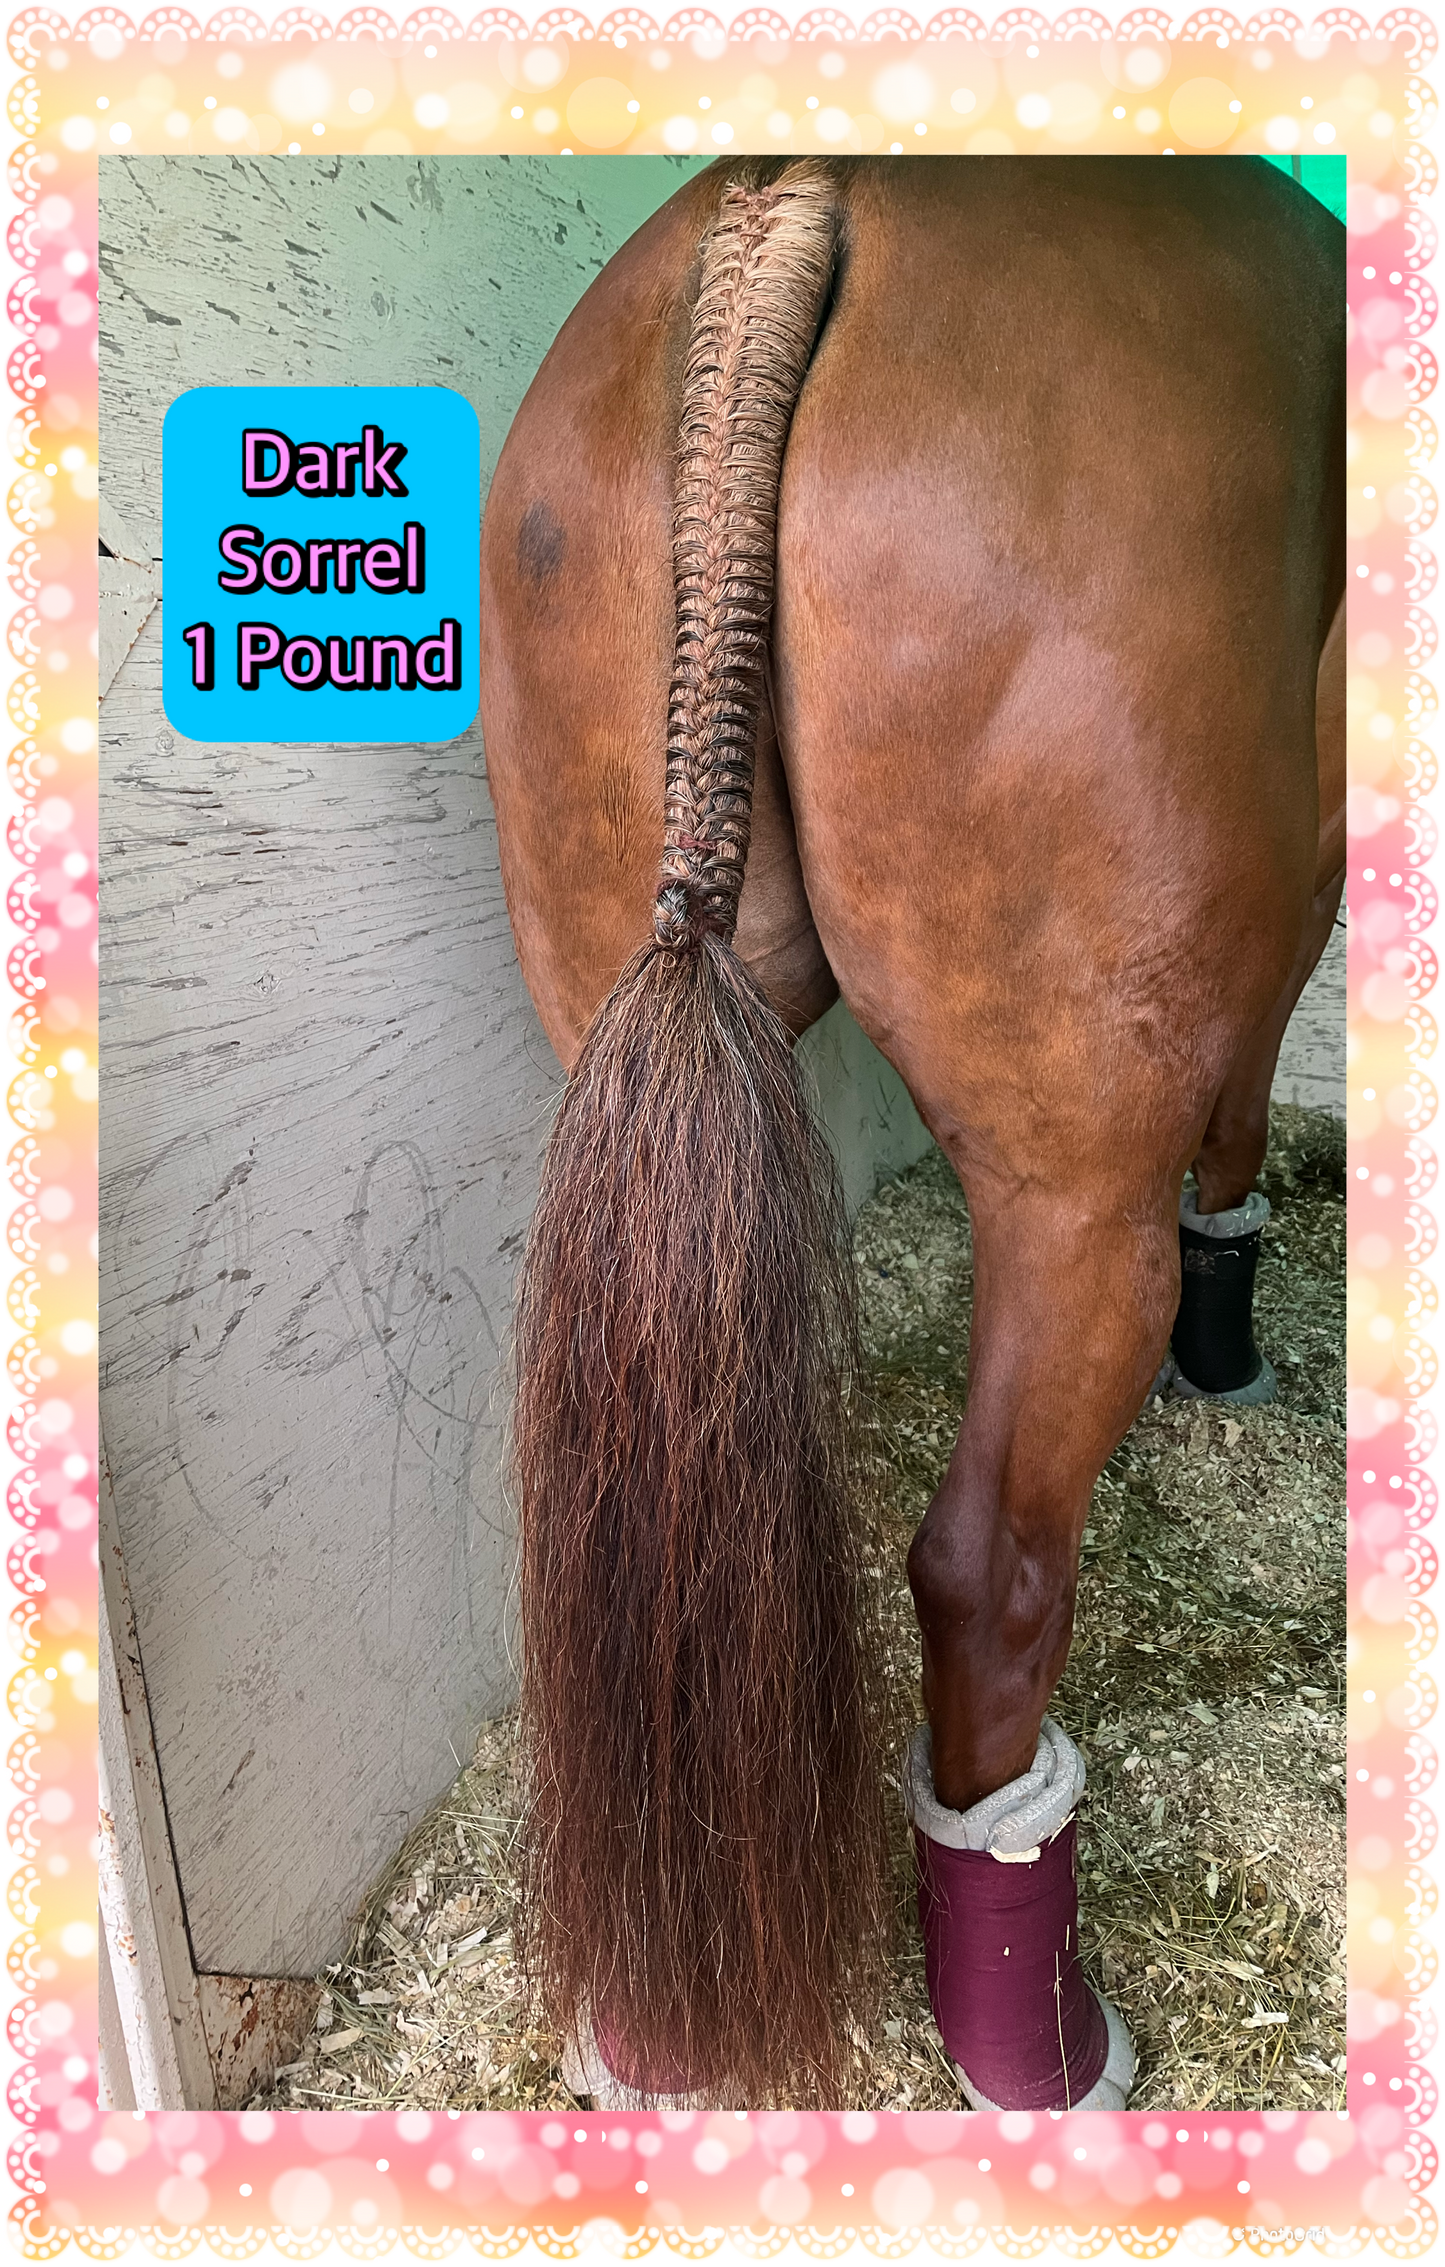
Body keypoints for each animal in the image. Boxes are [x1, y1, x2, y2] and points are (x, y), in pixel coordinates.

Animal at [477, 155, 1343, 2111]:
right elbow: (1249, 1077)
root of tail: (794, 203)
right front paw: (1226, 1322)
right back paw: (1042, 2046)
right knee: (987, 1570)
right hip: (1063, 1180)